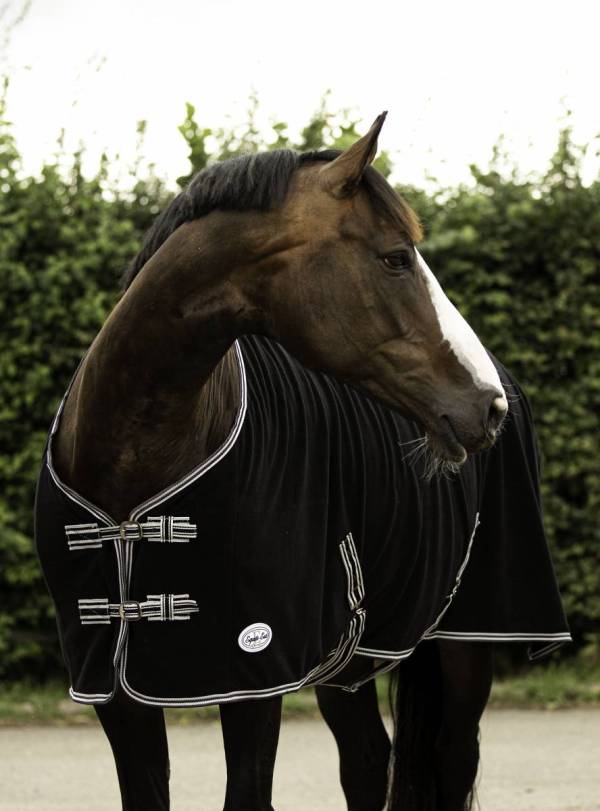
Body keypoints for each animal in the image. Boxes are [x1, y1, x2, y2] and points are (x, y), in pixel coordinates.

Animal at [34, 113, 570, 810]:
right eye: (396, 257)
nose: (487, 405)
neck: (133, 475)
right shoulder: (112, 685)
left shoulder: (253, 672)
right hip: (350, 655)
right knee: (368, 761)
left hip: (469, 640)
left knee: (453, 760)